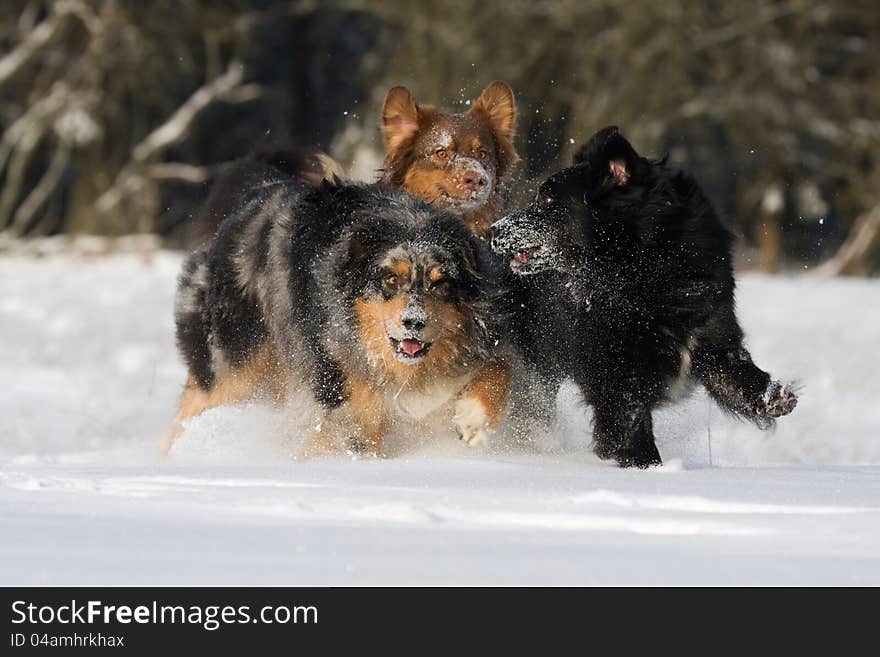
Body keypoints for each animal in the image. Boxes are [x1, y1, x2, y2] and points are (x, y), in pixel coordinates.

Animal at [165, 159, 508, 456]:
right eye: (390, 279)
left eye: (441, 283)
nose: (414, 322)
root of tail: (258, 192)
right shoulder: (345, 396)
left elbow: (499, 367)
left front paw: (473, 419)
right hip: (236, 359)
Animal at [492, 127, 800, 466]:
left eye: (546, 199)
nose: (494, 231)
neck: (646, 264)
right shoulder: (616, 371)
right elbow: (631, 428)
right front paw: (648, 467)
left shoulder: (712, 331)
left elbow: (736, 371)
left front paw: (775, 397)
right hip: (535, 362)